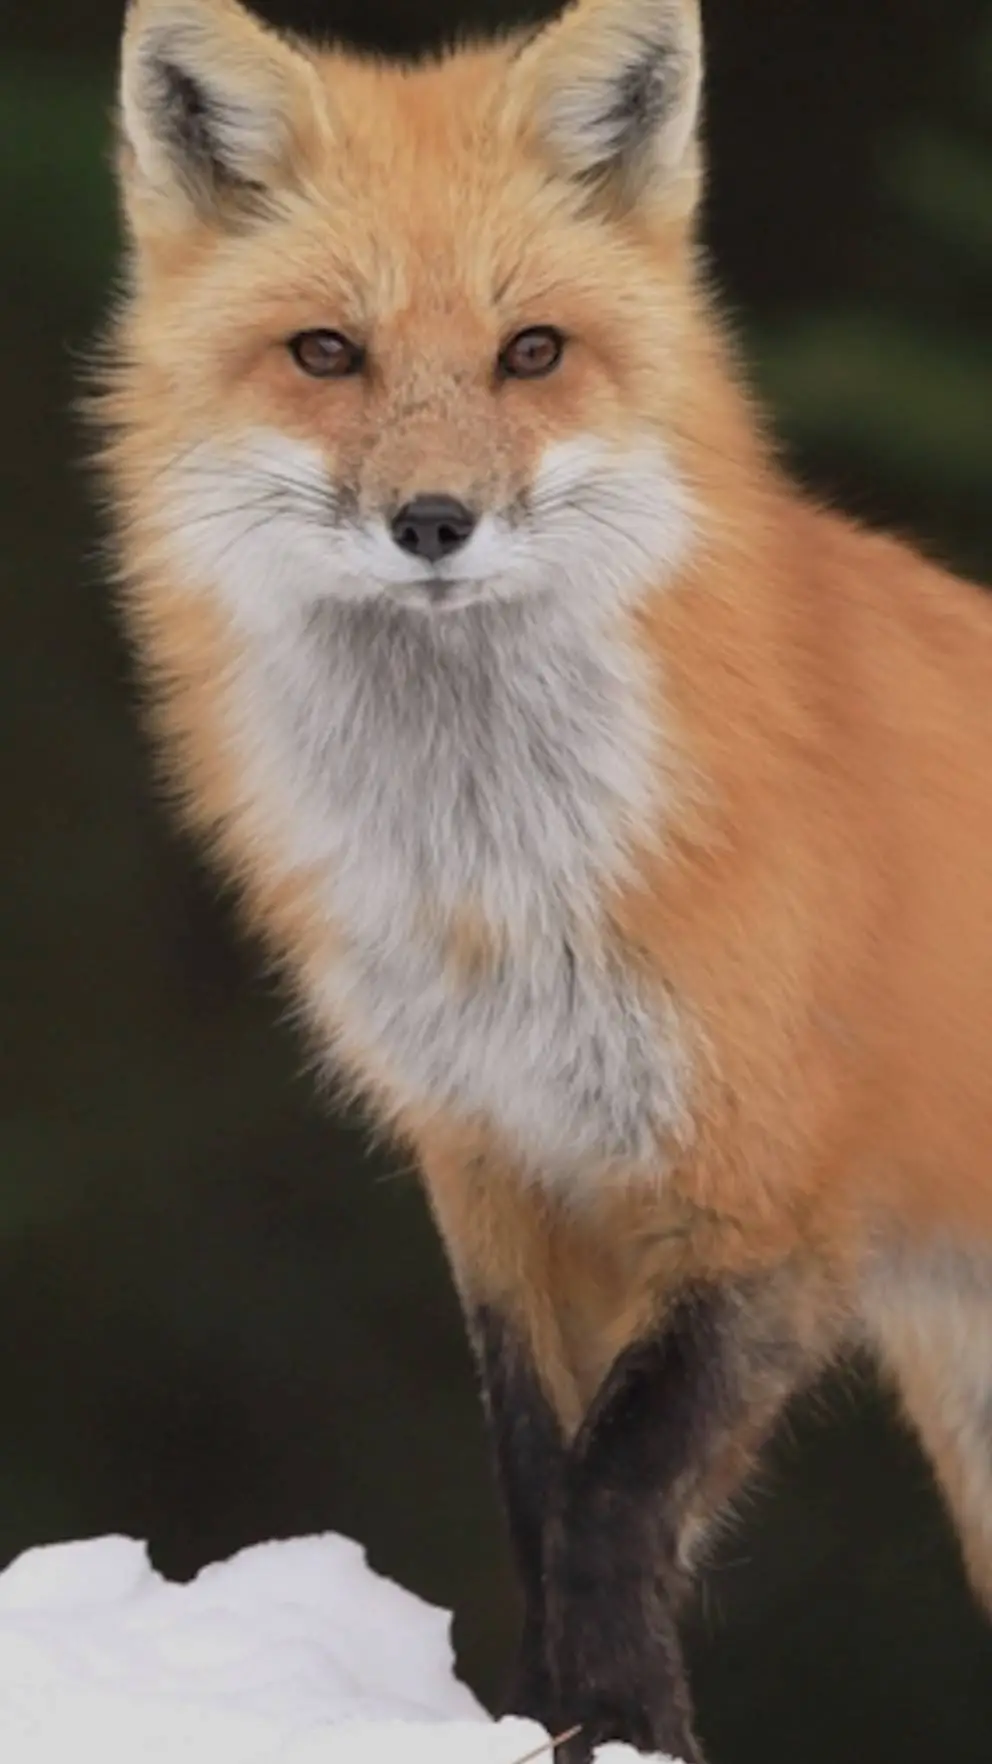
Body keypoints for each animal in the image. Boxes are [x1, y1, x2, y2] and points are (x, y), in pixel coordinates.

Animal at [96, 0, 992, 1757]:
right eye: (328, 354)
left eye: (533, 353)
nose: (433, 521)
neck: (502, 890)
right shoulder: (496, 1165)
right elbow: (536, 1477)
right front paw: (547, 1718)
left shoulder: (767, 1197)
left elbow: (613, 1495)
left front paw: (629, 1725)